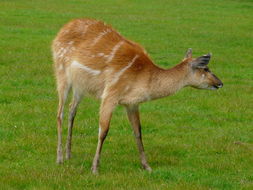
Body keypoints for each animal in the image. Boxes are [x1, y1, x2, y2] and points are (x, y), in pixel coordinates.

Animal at [52, 18, 223, 174]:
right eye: (206, 68)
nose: (220, 83)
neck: (141, 80)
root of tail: (59, 33)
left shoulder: (132, 103)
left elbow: (138, 131)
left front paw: (147, 166)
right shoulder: (110, 94)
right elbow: (103, 130)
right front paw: (94, 168)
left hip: (80, 85)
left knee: (72, 110)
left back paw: (69, 154)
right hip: (62, 74)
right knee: (60, 113)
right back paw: (59, 158)